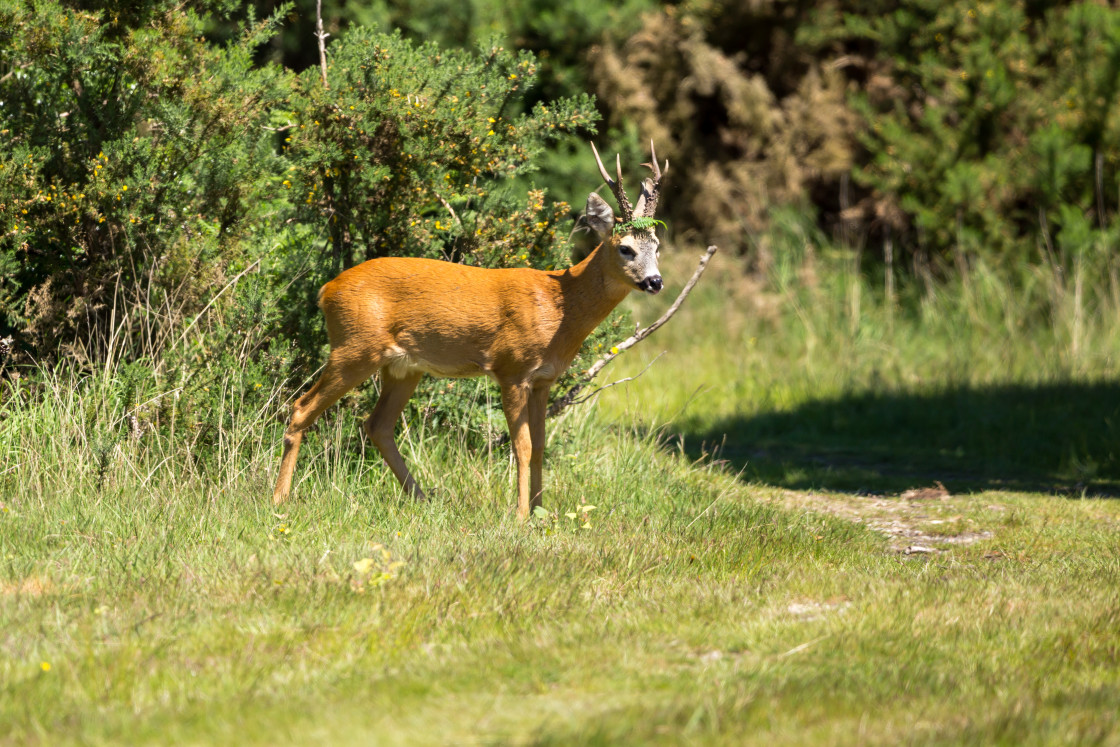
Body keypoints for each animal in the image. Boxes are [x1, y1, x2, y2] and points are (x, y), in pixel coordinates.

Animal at [274, 144, 667, 519]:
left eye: (657, 246)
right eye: (625, 248)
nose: (655, 282)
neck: (559, 306)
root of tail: (326, 290)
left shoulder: (544, 379)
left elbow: (540, 446)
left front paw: (541, 511)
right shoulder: (512, 369)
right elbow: (522, 446)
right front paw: (521, 516)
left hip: (402, 367)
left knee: (378, 425)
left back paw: (423, 498)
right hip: (354, 346)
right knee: (301, 407)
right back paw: (280, 499)